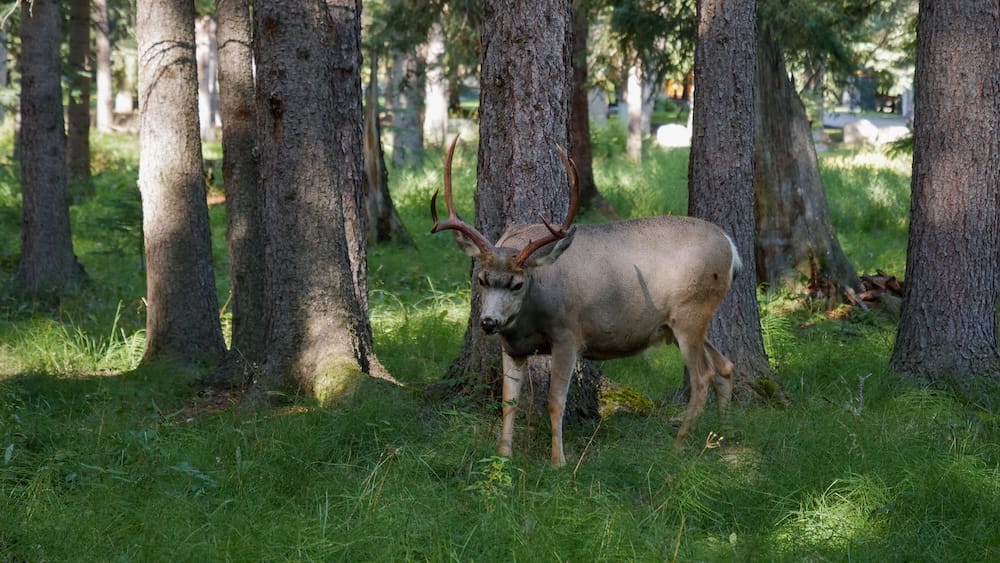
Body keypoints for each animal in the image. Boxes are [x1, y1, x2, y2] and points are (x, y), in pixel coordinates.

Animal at [431, 136, 741, 466]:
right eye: (481, 279)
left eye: (517, 283)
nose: (489, 322)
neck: (530, 316)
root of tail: (730, 247)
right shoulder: (512, 345)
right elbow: (509, 400)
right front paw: (503, 456)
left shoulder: (568, 334)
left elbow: (555, 401)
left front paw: (558, 461)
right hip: (684, 321)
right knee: (724, 366)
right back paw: (723, 439)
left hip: (690, 312)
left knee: (703, 375)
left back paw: (679, 446)